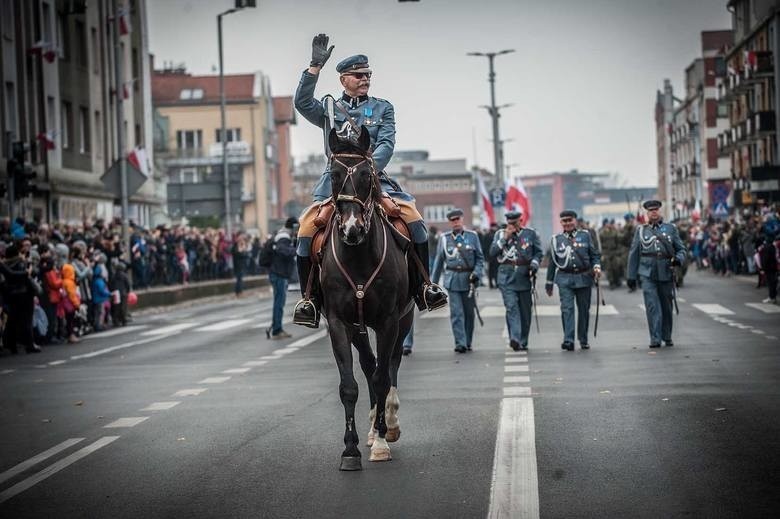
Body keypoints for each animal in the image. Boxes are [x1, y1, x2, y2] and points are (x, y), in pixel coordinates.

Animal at [316, 127, 414, 472]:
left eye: (366, 175)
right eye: (332, 175)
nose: (352, 229)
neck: (359, 256)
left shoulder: (388, 322)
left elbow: (384, 377)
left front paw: (383, 442)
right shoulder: (339, 323)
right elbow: (350, 385)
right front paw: (351, 449)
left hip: (404, 319)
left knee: (391, 363)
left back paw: (390, 423)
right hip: (359, 328)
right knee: (370, 365)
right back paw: (373, 426)